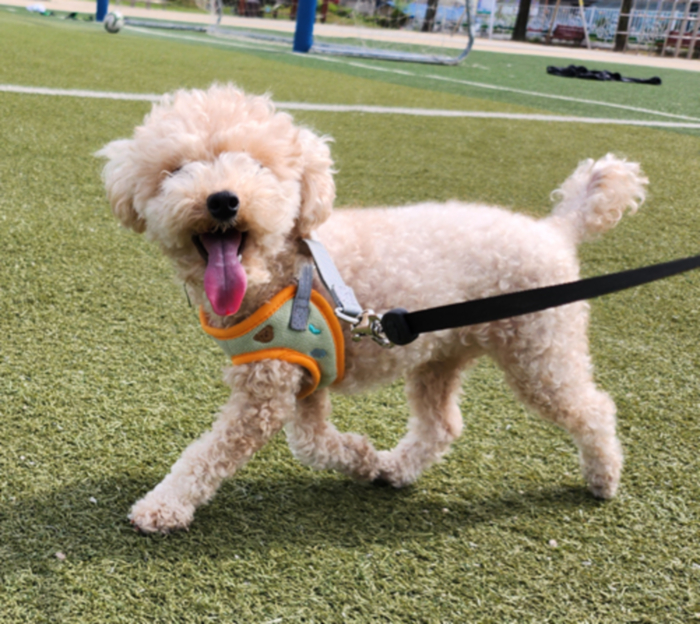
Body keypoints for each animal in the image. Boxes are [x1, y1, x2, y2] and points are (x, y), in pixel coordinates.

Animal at [98, 84, 647, 534]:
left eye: (259, 167)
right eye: (176, 170)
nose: (223, 200)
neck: (279, 270)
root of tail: (556, 229)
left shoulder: (266, 392)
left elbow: (210, 452)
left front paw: (162, 506)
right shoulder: (299, 376)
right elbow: (312, 443)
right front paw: (362, 459)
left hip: (541, 349)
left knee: (593, 407)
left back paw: (604, 478)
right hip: (441, 354)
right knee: (442, 424)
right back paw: (396, 469)